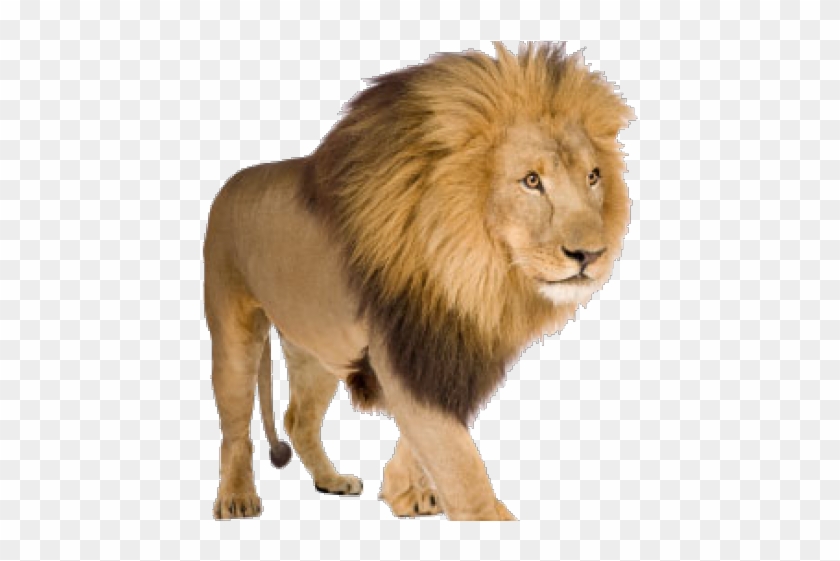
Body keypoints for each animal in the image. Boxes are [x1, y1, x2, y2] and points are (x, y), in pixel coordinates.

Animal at [203, 42, 634, 521]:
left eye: (593, 176)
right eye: (531, 180)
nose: (591, 255)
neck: (474, 272)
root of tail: (230, 182)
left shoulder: (448, 356)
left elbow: (427, 445)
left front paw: (405, 491)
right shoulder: (403, 353)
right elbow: (462, 468)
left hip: (317, 348)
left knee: (298, 419)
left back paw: (330, 480)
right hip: (233, 335)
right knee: (234, 430)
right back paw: (237, 497)